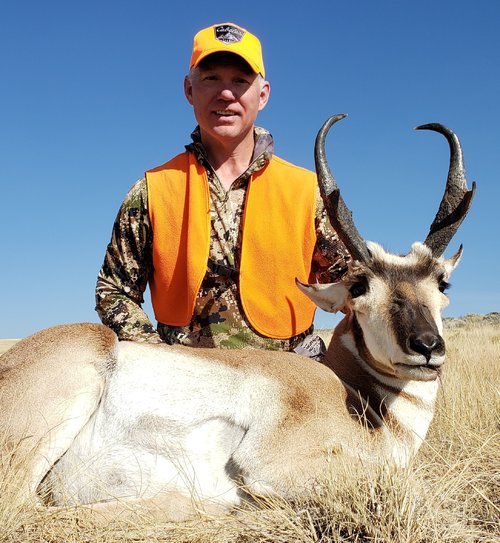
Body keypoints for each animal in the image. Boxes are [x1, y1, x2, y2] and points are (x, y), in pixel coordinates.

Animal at [0, 115, 475, 521]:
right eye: (359, 287)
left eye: (442, 283)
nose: (427, 347)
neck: (353, 394)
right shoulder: (270, 463)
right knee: (24, 509)